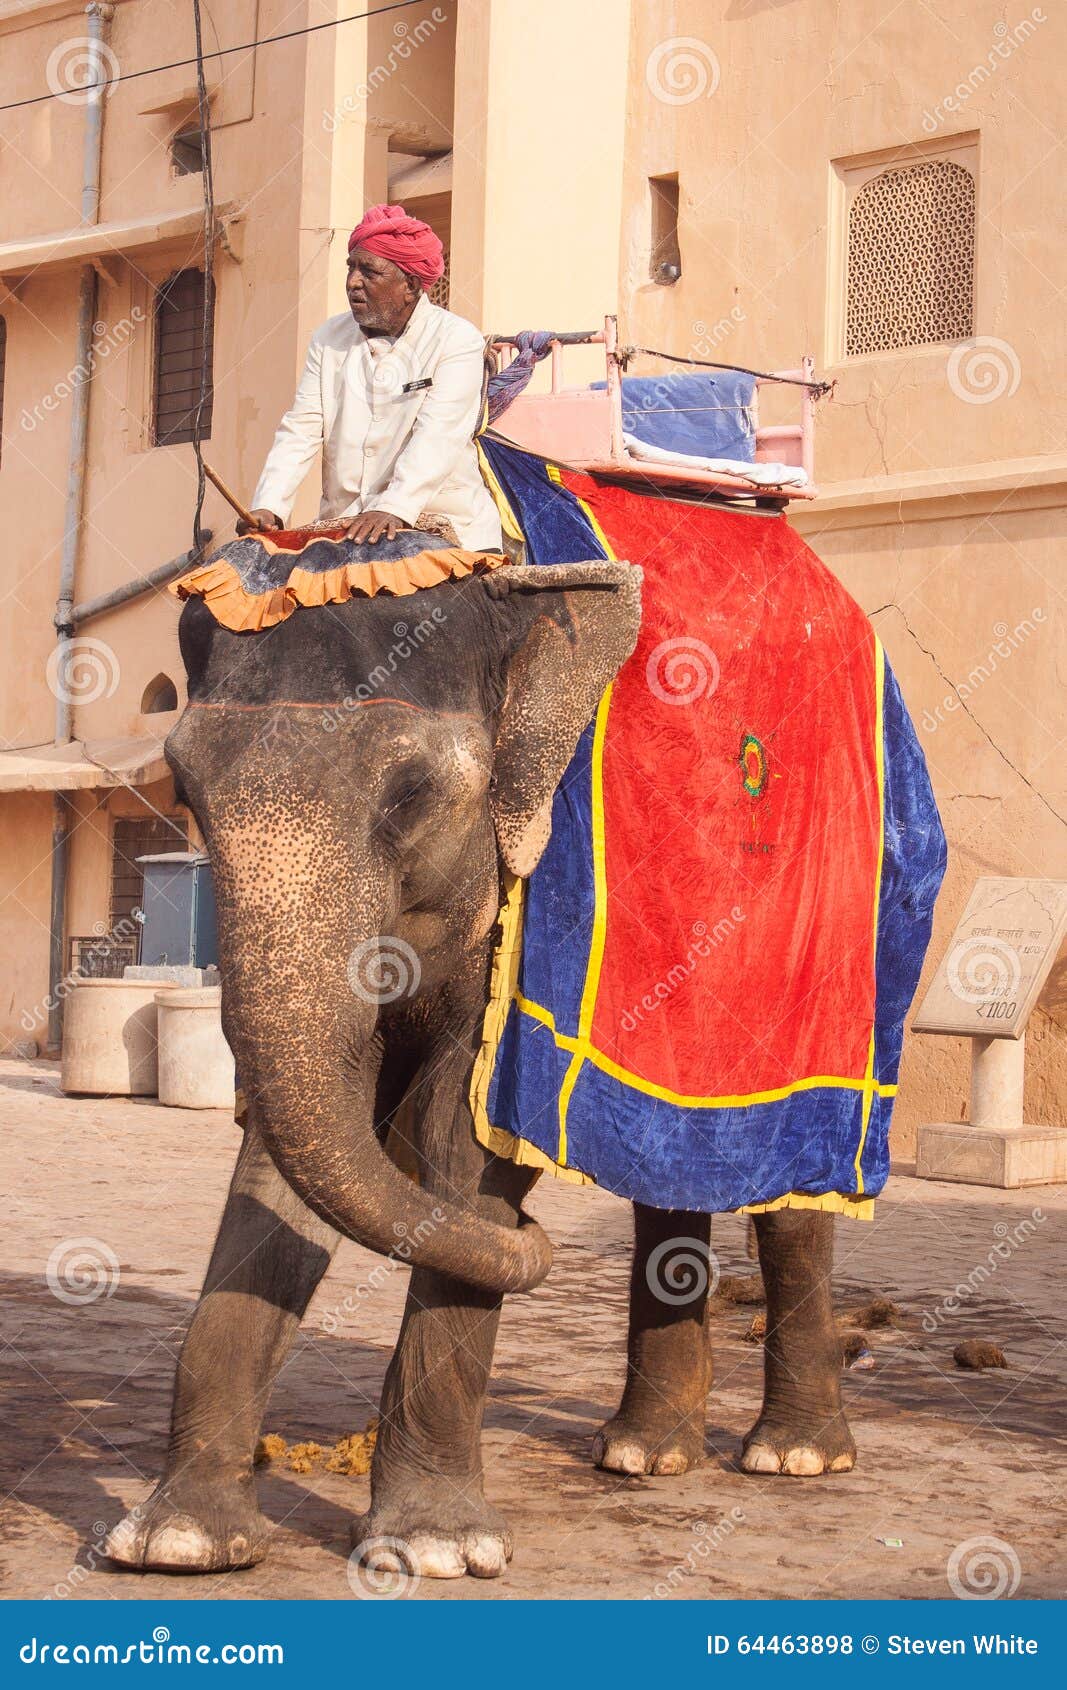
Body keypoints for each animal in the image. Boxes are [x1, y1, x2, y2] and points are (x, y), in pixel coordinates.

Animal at [105, 543, 856, 1584]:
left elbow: (464, 1134)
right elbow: (294, 1153)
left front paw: (433, 1552)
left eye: (412, 793)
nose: (538, 1233)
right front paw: (176, 1543)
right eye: (184, 791)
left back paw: (792, 1458)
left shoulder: (536, 902)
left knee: (789, 1177)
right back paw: (645, 1455)